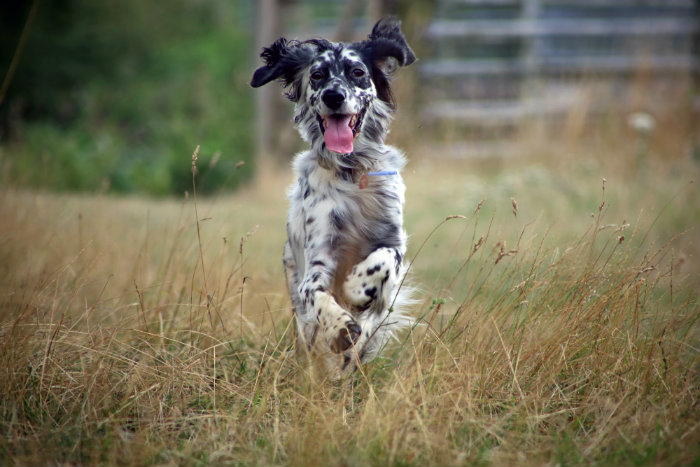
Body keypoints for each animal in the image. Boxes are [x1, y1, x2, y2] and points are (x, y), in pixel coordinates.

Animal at [252, 16, 416, 376]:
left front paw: (356, 288)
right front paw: (340, 326)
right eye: (317, 75)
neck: (352, 172)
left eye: (357, 72)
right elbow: (317, 294)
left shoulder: (394, 241)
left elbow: (385, 260)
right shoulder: (318, 261)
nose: (333, 95)